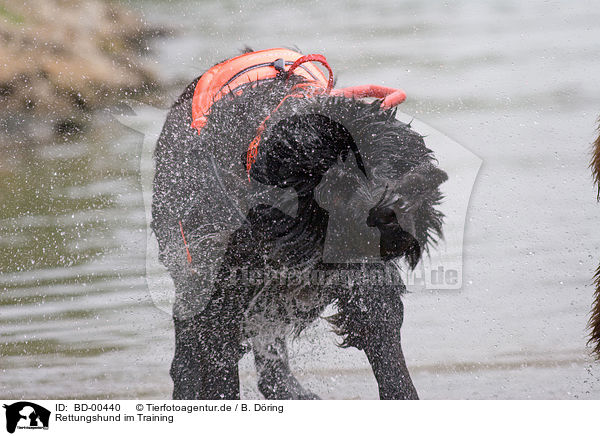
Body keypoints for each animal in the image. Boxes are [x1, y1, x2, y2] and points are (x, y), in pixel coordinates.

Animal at [152, 47, 448, 398]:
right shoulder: (221, 283)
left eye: (378, 162)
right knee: (188, 352)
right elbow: (216, 359)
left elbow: (381, 334)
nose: (386, 213)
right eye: (333, 185)